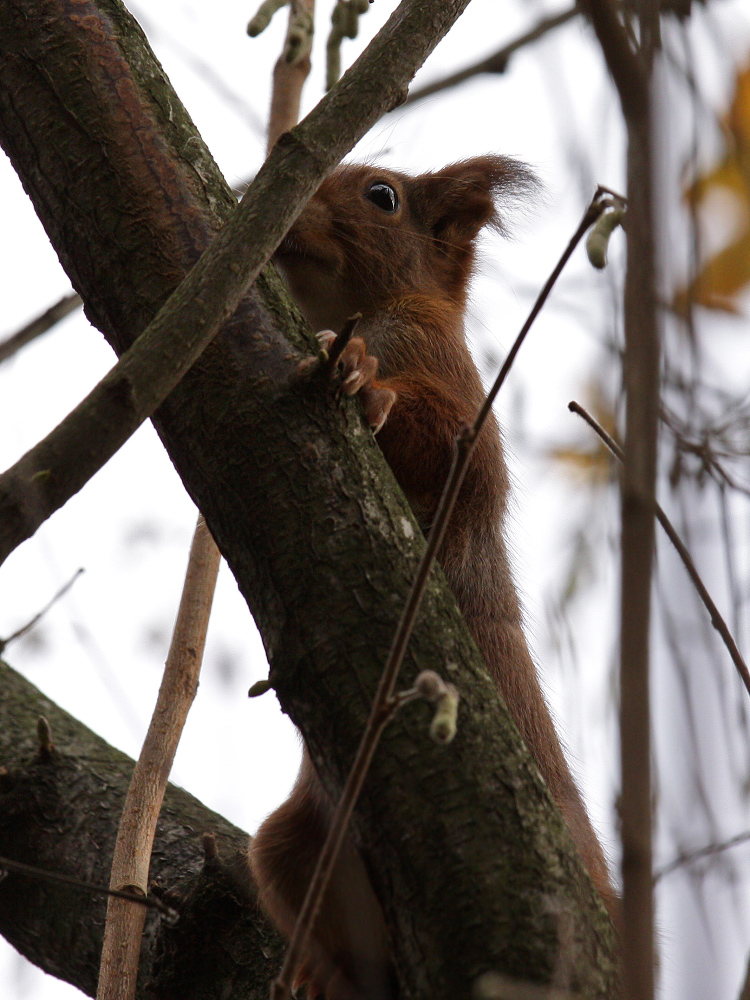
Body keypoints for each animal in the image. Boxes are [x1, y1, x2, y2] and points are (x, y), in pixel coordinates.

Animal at [251, 152, 616, 996]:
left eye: (382, 196)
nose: (269, 196)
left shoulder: (453, 384)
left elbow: (454, 448)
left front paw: (366, 378)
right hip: (289, 845)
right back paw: (323, 974)